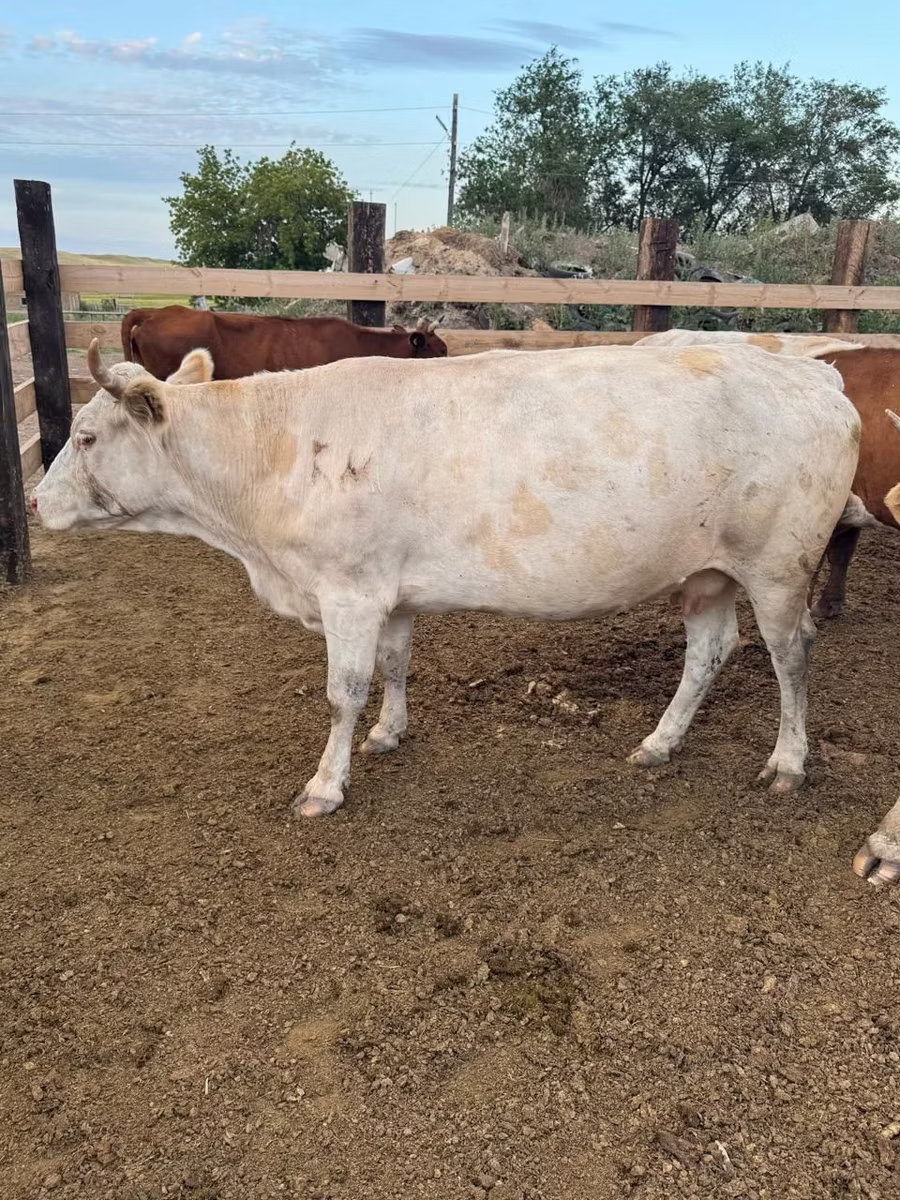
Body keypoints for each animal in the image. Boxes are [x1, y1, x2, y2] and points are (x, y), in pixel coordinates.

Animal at [32, 339, 860, 819]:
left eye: (87, 436)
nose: (36, 502)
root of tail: (816, 375)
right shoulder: (389, 591)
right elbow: (396, 665)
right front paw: (389, 733)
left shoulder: (348, 588)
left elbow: (343, 691)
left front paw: (324, 786)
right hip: (707, 572)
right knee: (709, 651)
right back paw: (660, 741)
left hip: (778, 565)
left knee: (791, 652)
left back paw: (789, 762)